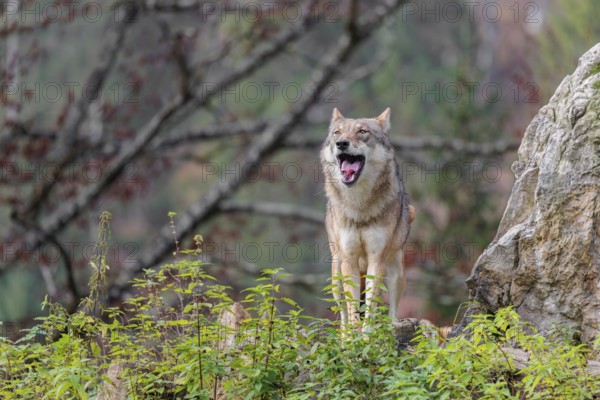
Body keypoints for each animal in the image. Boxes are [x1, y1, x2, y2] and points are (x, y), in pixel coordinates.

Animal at [322, 108, 414, 330]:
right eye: (337, 133)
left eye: (362, 132)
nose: (341, 143)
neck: (359, 206)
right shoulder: (349, 259)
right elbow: (353, 308)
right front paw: (354, 335)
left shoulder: (377, 259)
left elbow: (371, 306)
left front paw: (367, 333)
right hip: (336, 274)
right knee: (343, 314)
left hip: (397, 272)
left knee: (392, 309)